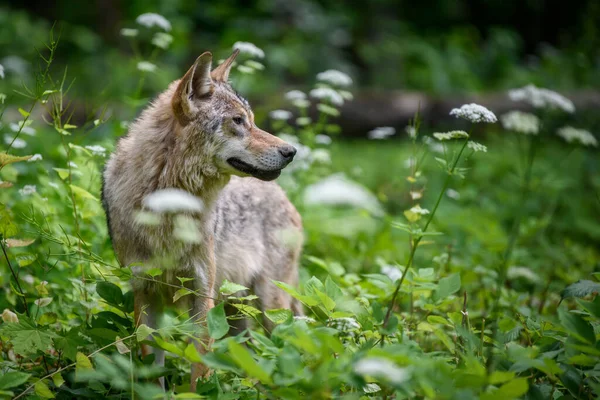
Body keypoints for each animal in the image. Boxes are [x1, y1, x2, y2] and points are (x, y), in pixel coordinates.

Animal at [101, 48, 304, 390]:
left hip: (270, 308)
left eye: (251, 120)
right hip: (237, 312)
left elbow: (199, 367)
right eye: (238, 121)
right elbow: (151, 366)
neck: (167, 203)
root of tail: (286, 197)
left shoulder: (202, 294)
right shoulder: (145, 291)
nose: (291, 151)